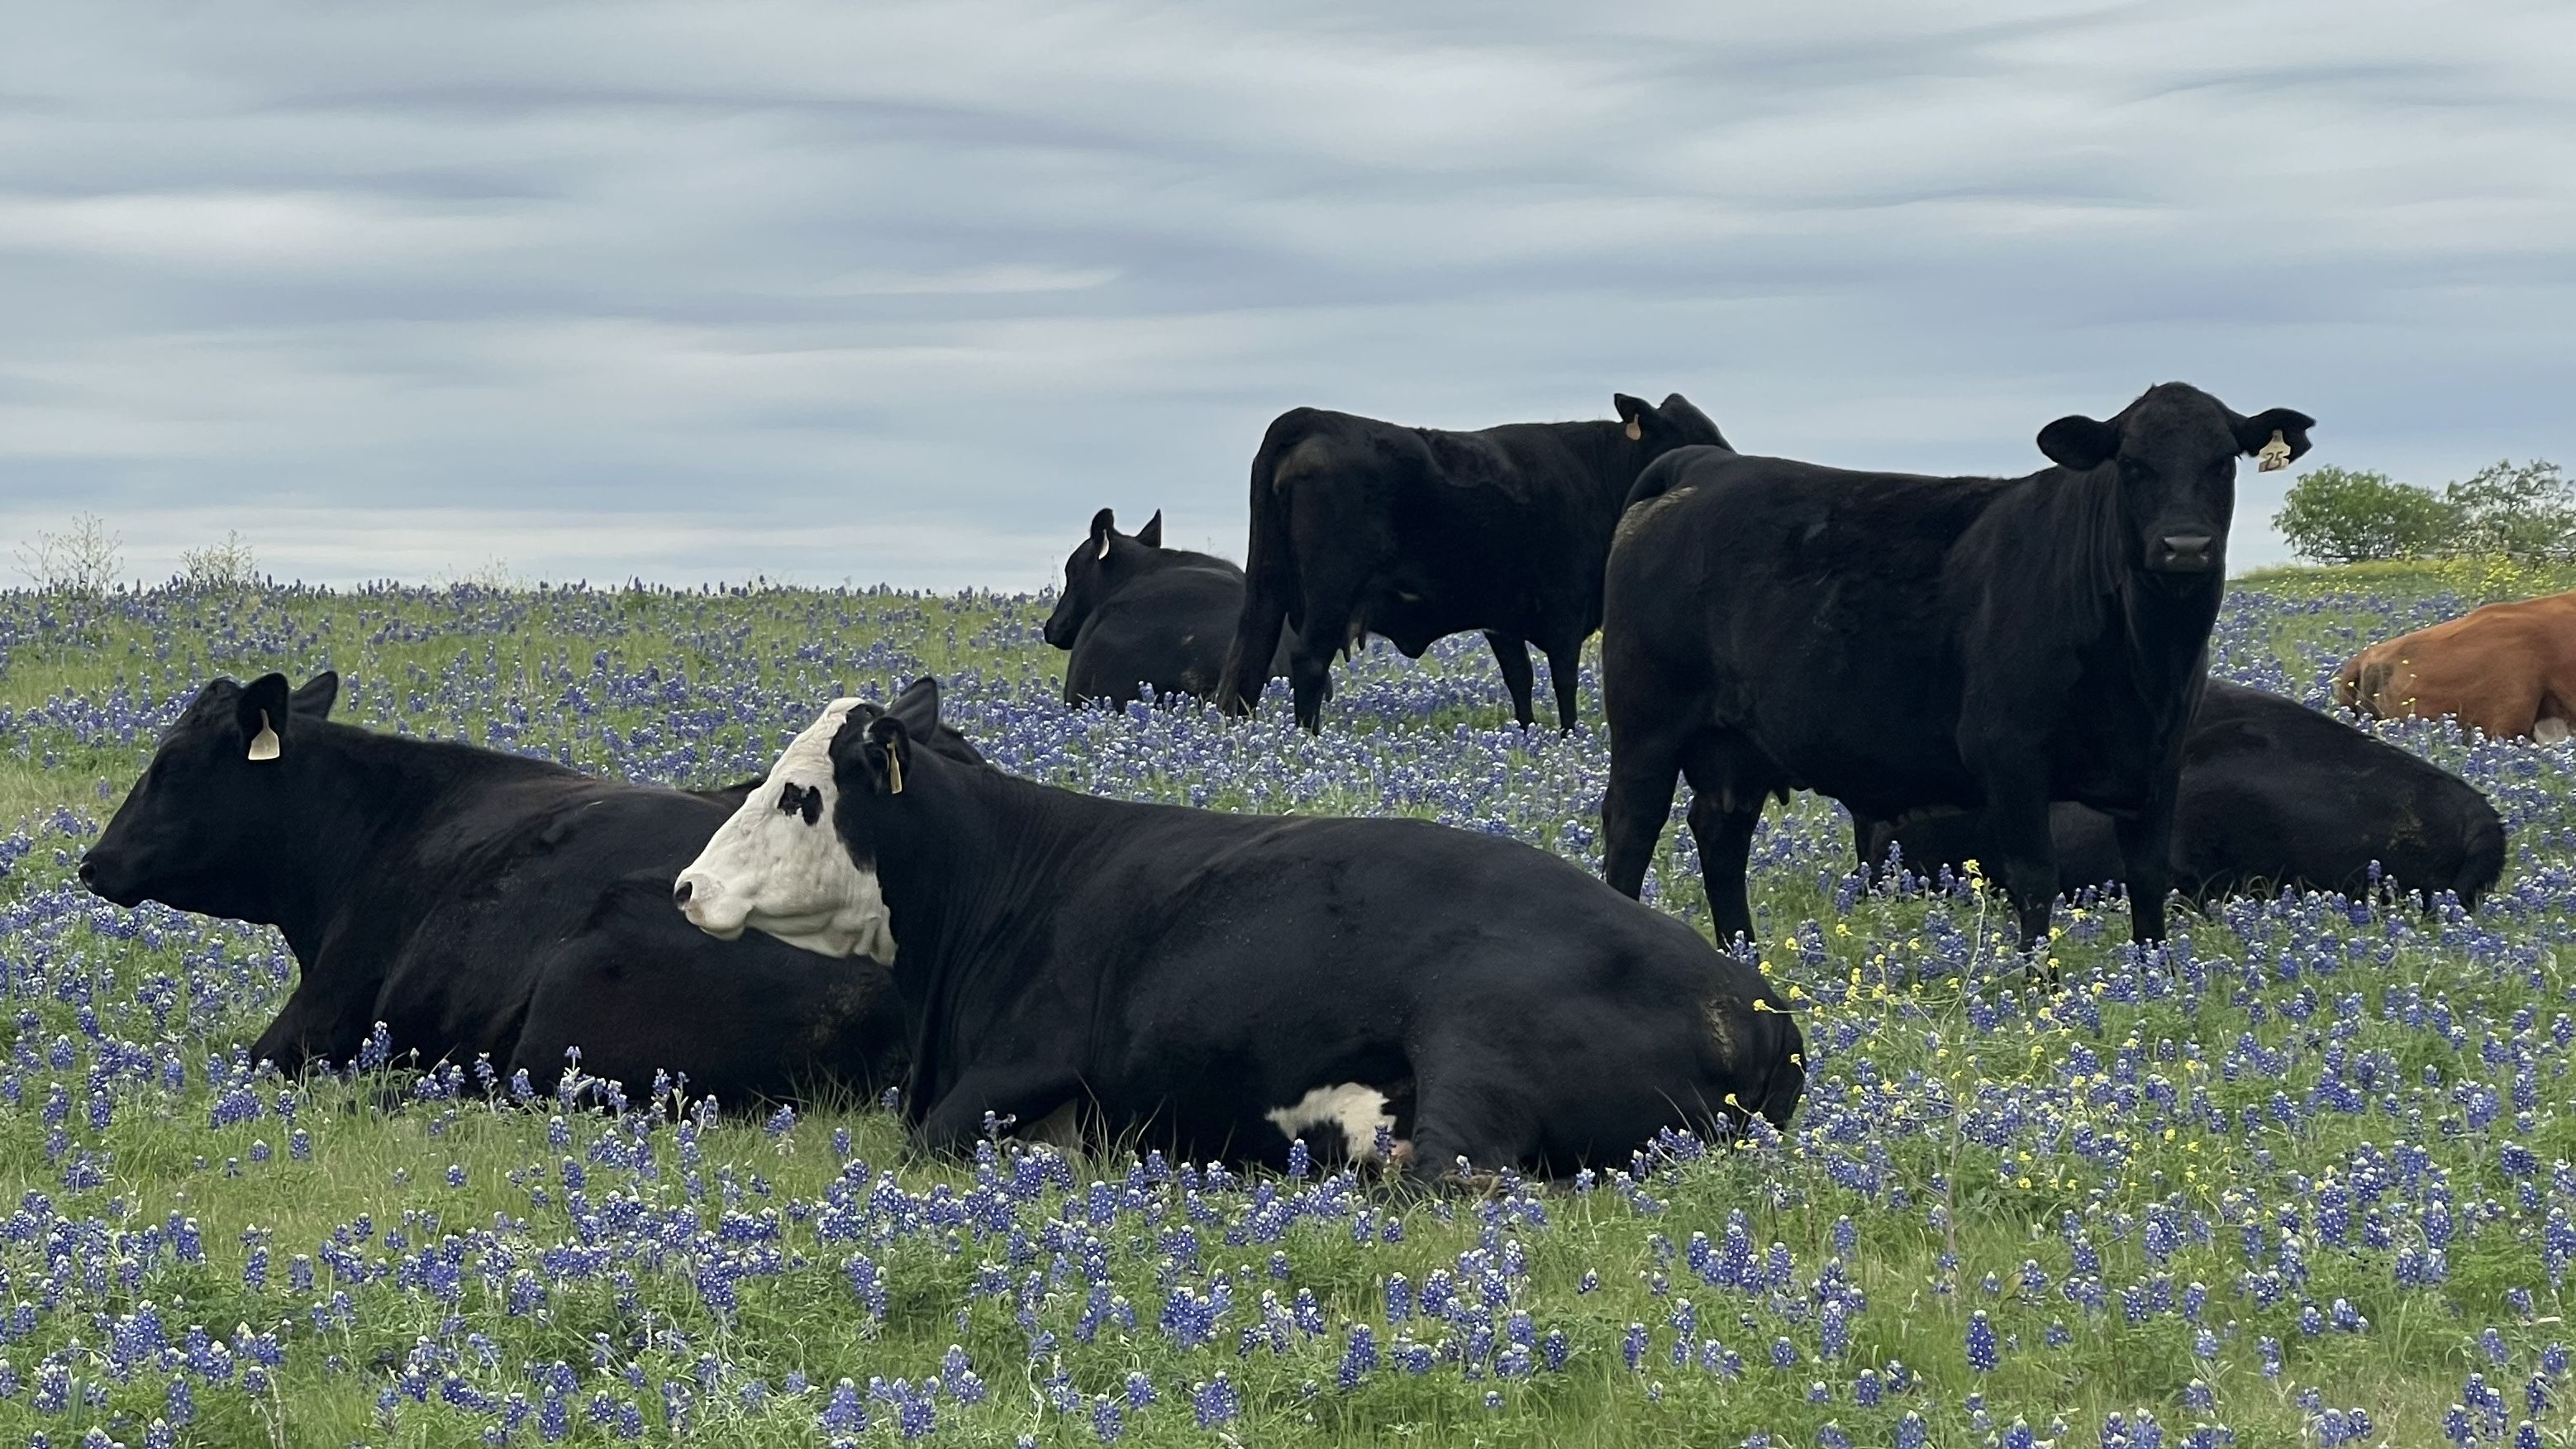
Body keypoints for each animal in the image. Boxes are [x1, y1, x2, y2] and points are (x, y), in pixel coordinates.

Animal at [674, 680, 1803, 1179]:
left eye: (799, 796)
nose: (687, 884)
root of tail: (1756, 1005)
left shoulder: (1020, 1069)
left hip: (1481, 1040)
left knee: (1453, 1178)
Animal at [1215, 392, 1729, 732]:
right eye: (1693, 439)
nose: (1725, 471)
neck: (1597, 472)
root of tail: (1312, 418)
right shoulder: (1563, 606)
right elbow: (1563, 680)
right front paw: (1566, 736)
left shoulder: (1503, 616)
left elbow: (1520, 680)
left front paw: (1528, 735)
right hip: (1331, 590)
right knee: (1307, 660)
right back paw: (1308, 739)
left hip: (1267, 585)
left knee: (1246, 662)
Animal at [1599, 382, 2316, 958]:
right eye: (2132, 464)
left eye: (2221, 461)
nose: (2184, 546)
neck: (2145, 659)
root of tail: (1706, 465)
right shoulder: (2010, 755)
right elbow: (2034, 875)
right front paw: (2040, 987)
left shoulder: (2159, 761)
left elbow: (2146, 875)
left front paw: (2156, 974)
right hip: (1646, 726)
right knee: (1631, 827)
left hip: (1737, 748)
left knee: (1721, 834)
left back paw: (1741, 955)